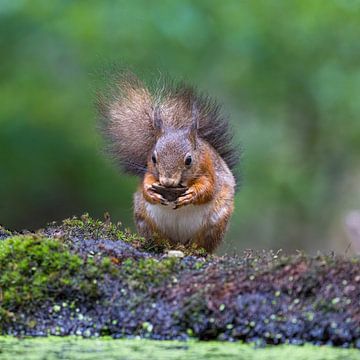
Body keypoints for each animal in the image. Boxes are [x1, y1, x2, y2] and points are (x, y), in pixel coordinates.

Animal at [98, 72, 239, 253]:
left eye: (189, 160)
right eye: (153, 158)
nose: (167, 181)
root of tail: (179, 241)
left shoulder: (209, 169)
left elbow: (208, 188)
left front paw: (192, 194)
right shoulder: (149, 171)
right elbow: (146, 184)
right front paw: (150, 192)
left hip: (214, 224)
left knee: (201, 244)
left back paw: (193, 250)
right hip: (145, 219)